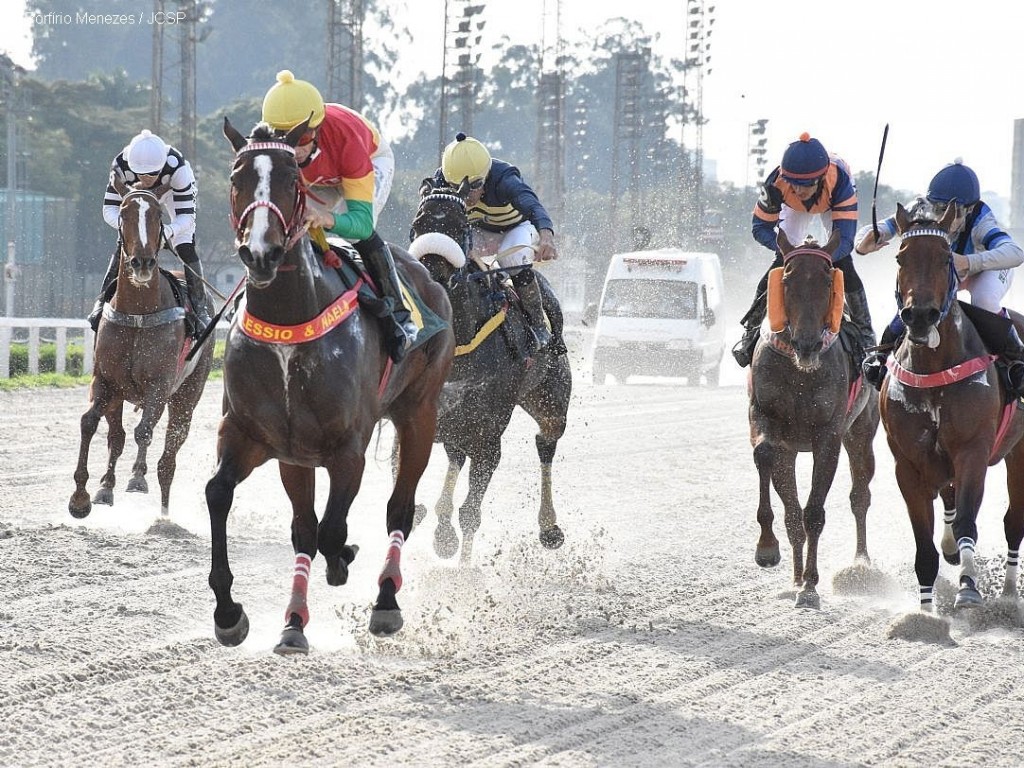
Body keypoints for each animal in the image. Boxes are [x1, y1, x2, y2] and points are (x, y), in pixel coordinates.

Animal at [68, 188, 214, 520]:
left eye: (159, 214)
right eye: (124, 213)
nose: (142, 263)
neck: (138, 314)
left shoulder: (159, 385)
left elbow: (144, 431)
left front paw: (137, 477)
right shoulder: (105, 381)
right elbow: (89, 423)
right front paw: (80, 497)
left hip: (187, 395)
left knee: (169, 455)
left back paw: (163, 512)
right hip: (121, 395)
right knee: (117, 436)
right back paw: (106, 487)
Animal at [210, 117, 452, 651]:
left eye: (291, 182)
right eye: (237, 177)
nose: (260, 254)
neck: (288, 321)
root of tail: (431, 278)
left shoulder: (347, 449)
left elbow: (332, 530)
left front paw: (344, 560)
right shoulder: (255, 436)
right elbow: (222, 495)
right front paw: (229, 613)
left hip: (419, 414)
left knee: (399, 510)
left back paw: (385, 601)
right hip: (295, 457)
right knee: (305, 528)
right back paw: (293, 622)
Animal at [405, 180, 569, 565]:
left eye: (460, 227)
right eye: (417, 225)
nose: (429, 278)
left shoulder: (489, 434)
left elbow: (471, 512)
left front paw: (463, 576)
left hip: (551, 400)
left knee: (546, 443)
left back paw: (549, 527)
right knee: (455, 455)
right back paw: (441, 527)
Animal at [745, 228, 880, 606]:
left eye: (828, 282)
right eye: (786, 281)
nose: (806, 344)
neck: (799, 371)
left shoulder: (828, 436)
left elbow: (814, 511)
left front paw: (810, 586)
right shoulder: (765, 419)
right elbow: (767, 459)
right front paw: (767, 549)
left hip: (862, 432)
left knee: (860, 496)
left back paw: (860, 566)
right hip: (791, 449)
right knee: (792, 511)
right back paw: (793, 576)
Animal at [880, 201, 1024, 610]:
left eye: (946, 257)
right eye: (900, 257)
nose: (920, 315)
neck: (934, 368)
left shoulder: (972, 451)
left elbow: (966, 522)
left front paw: (968, 587)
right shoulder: (908, 464)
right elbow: (925, 546)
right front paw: (926, 612)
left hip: (1017, 454)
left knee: (1013, 522)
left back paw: (1009, 595)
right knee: (948, 497)